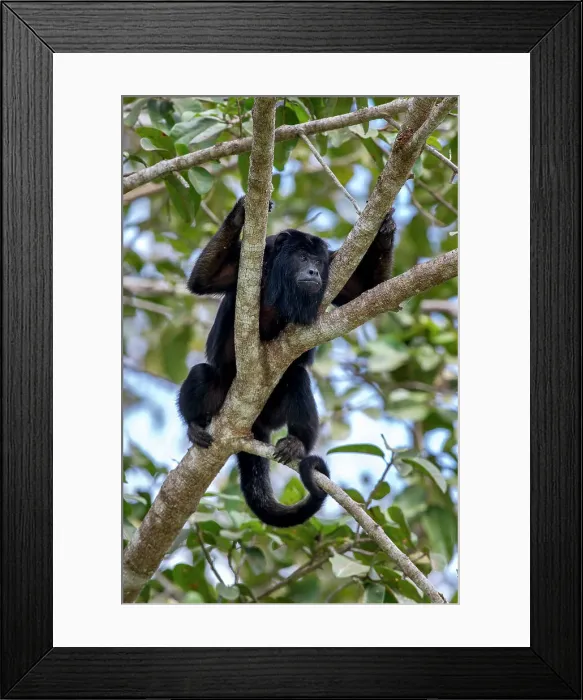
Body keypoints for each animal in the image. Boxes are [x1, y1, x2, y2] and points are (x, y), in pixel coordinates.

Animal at [178, 196, 396, 527]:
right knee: (202, 373)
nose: (314, 272)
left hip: (274, 412)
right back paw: (194, 425)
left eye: (318, 262)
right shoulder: (254, 259)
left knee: (297, 377)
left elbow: (367, 291)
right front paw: (241, 212)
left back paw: (298, 442)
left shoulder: (335, 266)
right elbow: (203, 280)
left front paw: (385, 229)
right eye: (302, 257)